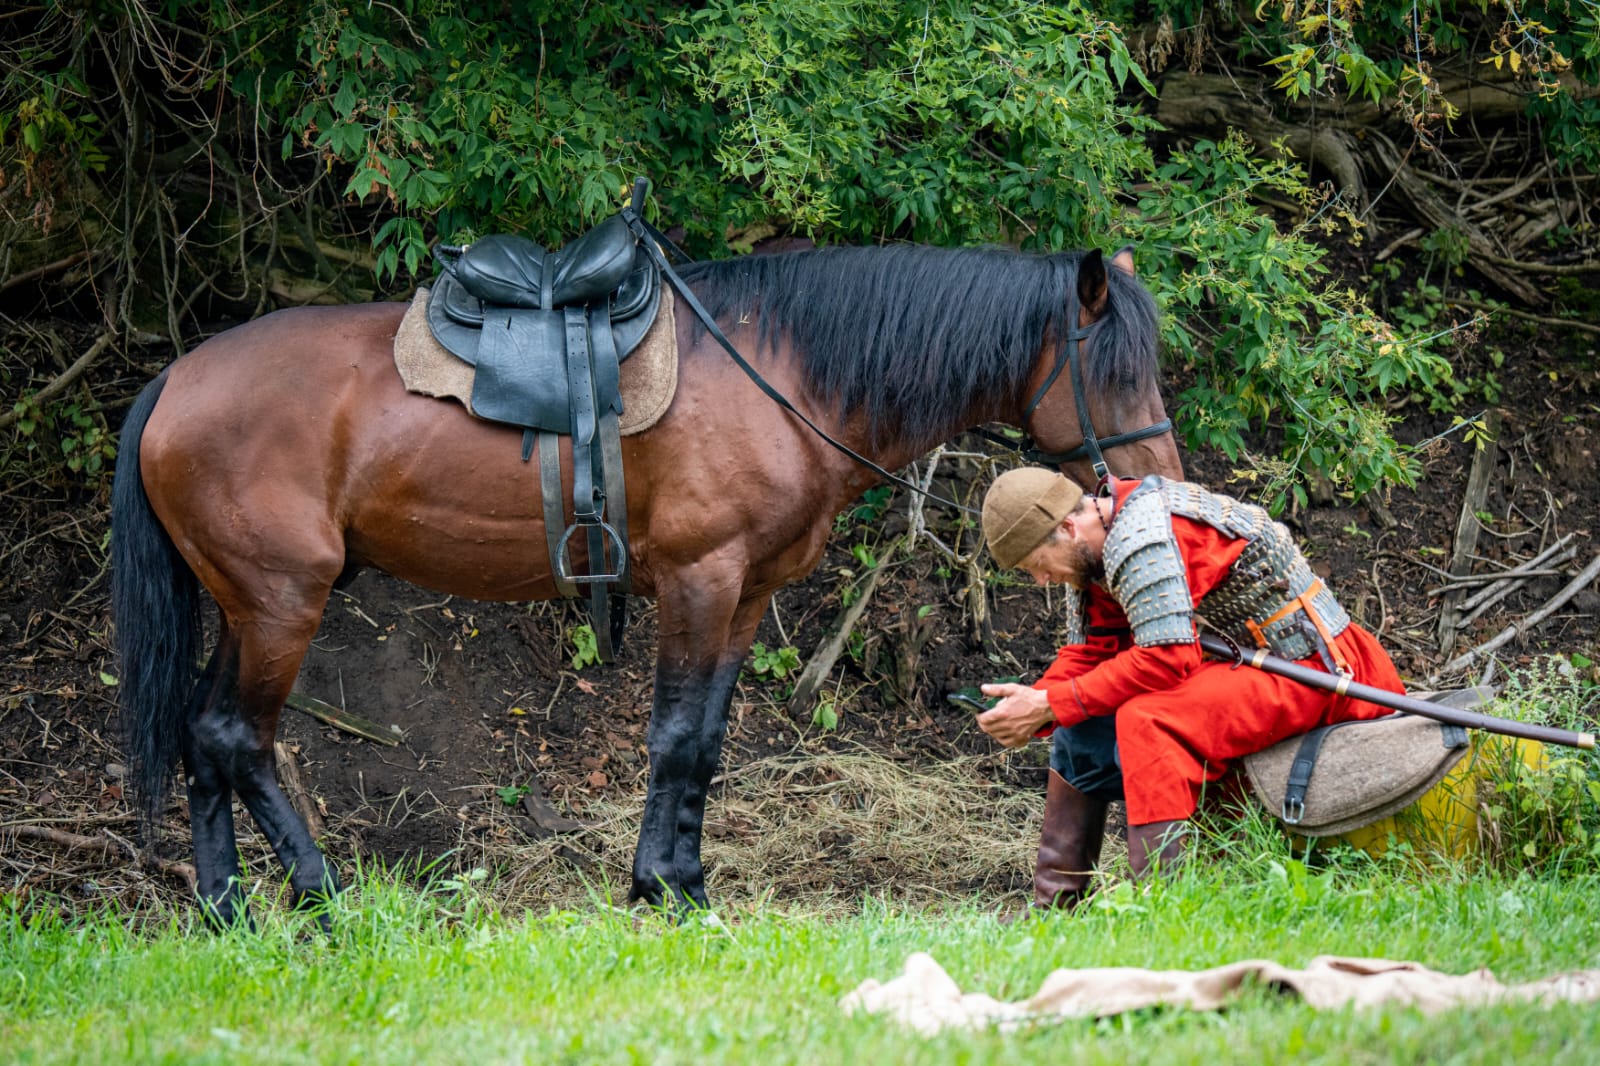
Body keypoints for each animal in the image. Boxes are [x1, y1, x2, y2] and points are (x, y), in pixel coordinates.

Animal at [109, 240, 1190, 921]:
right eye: (1115, 370)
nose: (1161, 477)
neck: (782, 373)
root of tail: (175, 381)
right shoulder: (699, 582)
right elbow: (672, 739)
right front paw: (658, 888)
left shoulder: (746, 594)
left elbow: (703, 744)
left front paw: (685, 881)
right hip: (282, 602)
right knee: (236, 737)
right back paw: (318, 895)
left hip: (248, 605)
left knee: (203, 736)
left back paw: (229, 909)